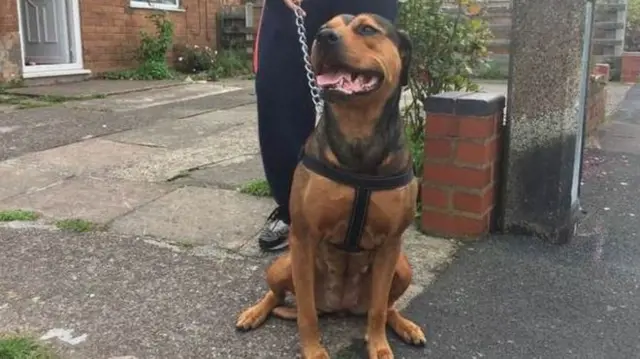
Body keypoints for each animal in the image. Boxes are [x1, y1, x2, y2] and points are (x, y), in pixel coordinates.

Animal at [236, 12, 424, 358]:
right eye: (326, 26)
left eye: (367, 29)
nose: (323, 37)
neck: (357, 133)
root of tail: (341, 307)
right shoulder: (304, 237)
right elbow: (306, 311)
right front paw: (313, 350)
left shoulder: (391, 244)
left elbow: (379, 309)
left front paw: (378, 345)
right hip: (282, 265)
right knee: (278, 296)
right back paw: (254, 313)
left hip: (403, 268)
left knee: (387, 306)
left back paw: (404, 326)